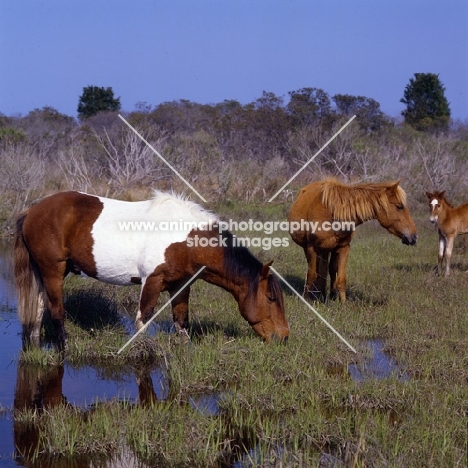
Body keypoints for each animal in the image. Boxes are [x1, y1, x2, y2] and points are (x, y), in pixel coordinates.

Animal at [14, 190, 288, 348]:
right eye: (271, 298)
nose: (284, 337)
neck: (185, 238)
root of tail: (32, 210)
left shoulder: (181, 285)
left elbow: (181, 323)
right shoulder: (152, 282)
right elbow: (143, 321)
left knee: (38, 309)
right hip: (53, 271)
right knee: (56, 311)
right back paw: (65, 348)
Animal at [288, 177, 416, 302]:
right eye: (399, 207)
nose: (414, 237)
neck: (332, 214)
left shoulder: (344, 248)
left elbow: (341, 279)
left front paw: (343, 305)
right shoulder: (311, 248)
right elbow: (311, 276)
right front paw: (306, 300)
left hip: (329, 250)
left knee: (329, 270)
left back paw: (327, 295)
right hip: (312, 249)